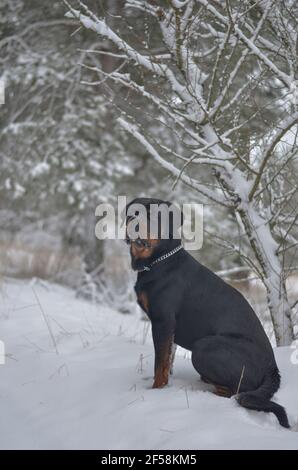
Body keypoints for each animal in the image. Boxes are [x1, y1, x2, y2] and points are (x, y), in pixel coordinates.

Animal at [124, 196, 290, 428]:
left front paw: (156, 392)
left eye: (154, 216)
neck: (160, 261)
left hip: (203, 347)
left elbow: (160, 364)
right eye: (132, 213)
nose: (133, 223)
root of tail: (272, 369)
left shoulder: (162, 321)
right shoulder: (169, 329)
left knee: (235, 393)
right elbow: (167, 361)